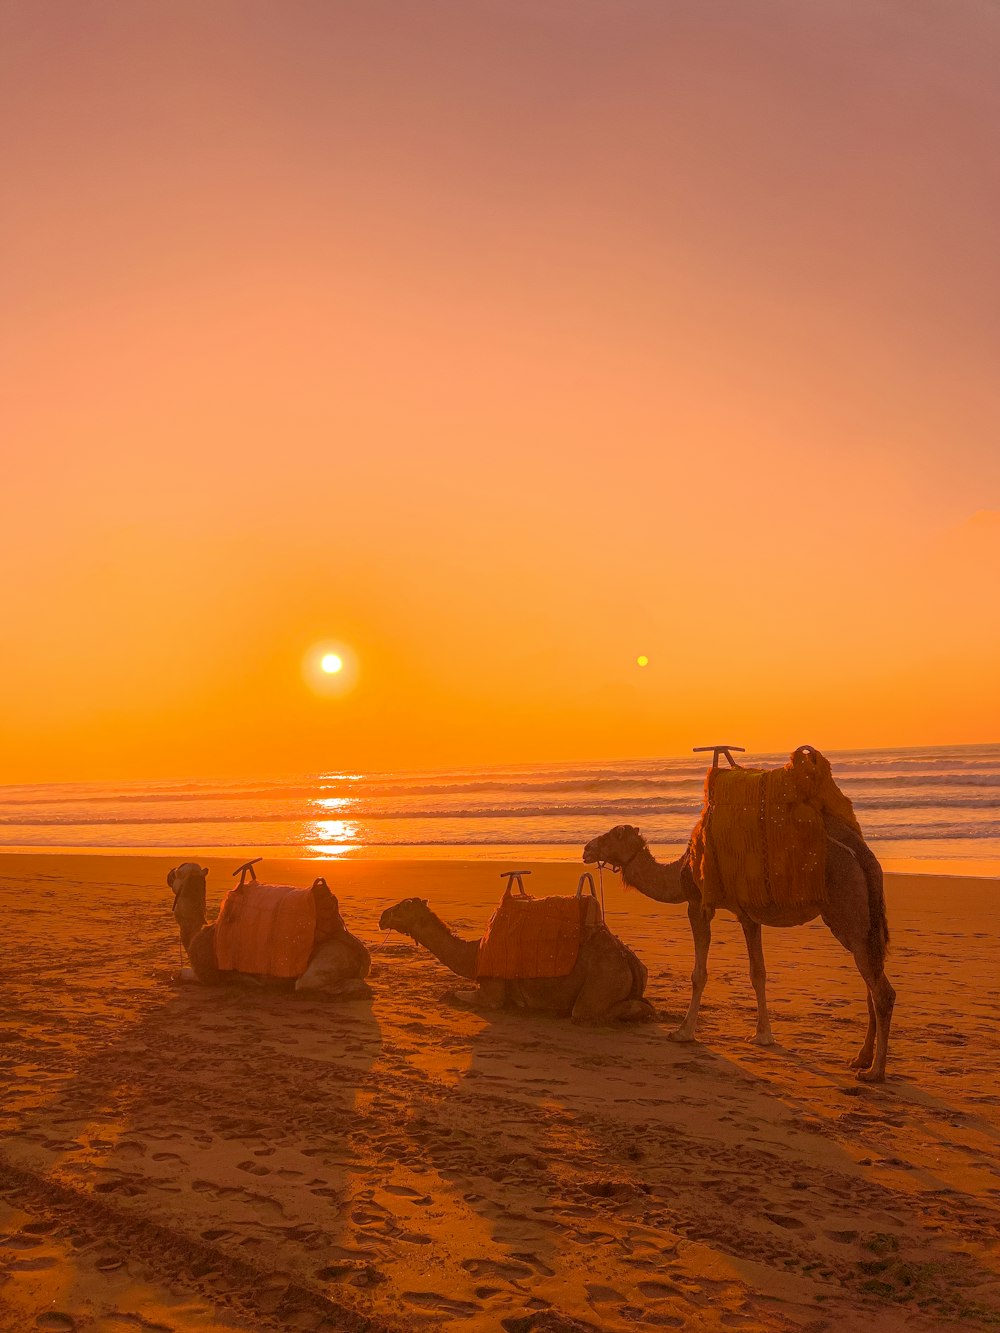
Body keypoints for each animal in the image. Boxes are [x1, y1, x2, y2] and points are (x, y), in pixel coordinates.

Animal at [168, 863, 373, 1002]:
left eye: (178, 871)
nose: (169, 873)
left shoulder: (206, 975)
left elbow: (184, 973)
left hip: (328, 960)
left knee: (310, 983)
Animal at [378, 901, 658, 1023]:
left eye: (401, 907)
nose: (382, 916)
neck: (475, 953)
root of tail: (628, 959)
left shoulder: (492, 991)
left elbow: (459, 995)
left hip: (603, 977)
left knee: (585, 1011)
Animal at [584, 810, 896, 1082]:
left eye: (613, 834)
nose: (587, 848)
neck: (681, 871)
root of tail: (865, 857)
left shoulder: (698, 905)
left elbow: (699, 974)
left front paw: (683, 1032)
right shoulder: (747, 915)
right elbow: (758, 973)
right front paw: (763, 1036)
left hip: (846, 910)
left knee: (881, 991)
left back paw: (874, 1072)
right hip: (862, 922)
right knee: (872, 981)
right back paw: (861, 1059)